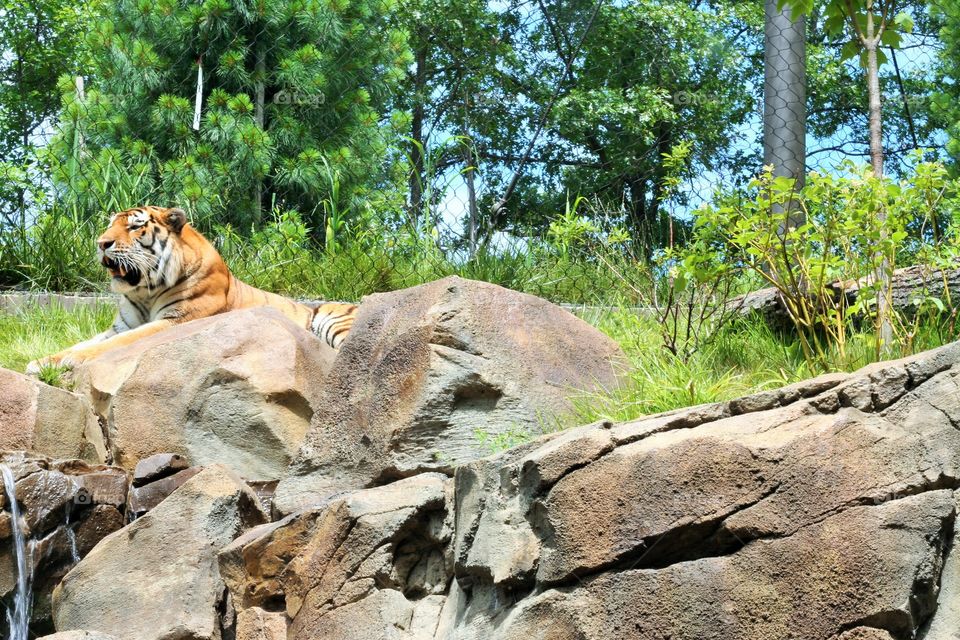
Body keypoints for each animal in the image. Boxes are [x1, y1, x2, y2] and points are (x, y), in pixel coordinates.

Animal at [26, 205, 357, 374]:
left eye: (134, 226)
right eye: (110, 225)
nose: (101, 243)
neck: (145, 291)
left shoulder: (175, 320)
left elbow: (110, 346)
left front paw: (67, 362)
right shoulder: (121, 326)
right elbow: (84, 342)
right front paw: (42, 362)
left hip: (335, 321)